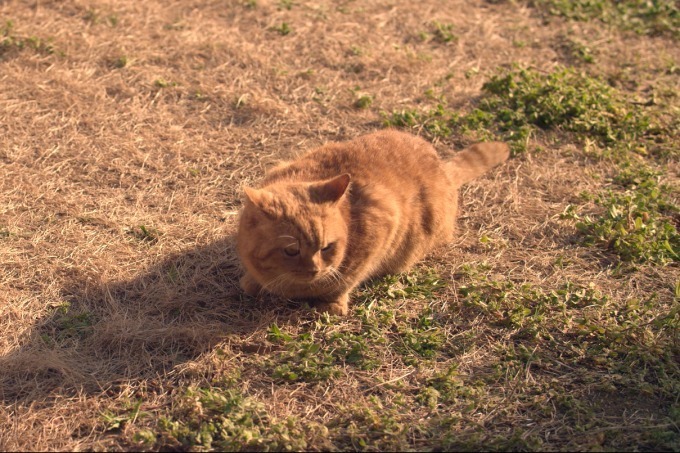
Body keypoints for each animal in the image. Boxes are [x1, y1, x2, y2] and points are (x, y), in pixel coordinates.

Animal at [236, 130, 508, 314]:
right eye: (292, 251)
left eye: (326, 248)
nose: (315, 270)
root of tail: (443, 168)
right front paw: (252, 281)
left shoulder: (382, 222)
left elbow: (346, 280)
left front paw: (333, 302)